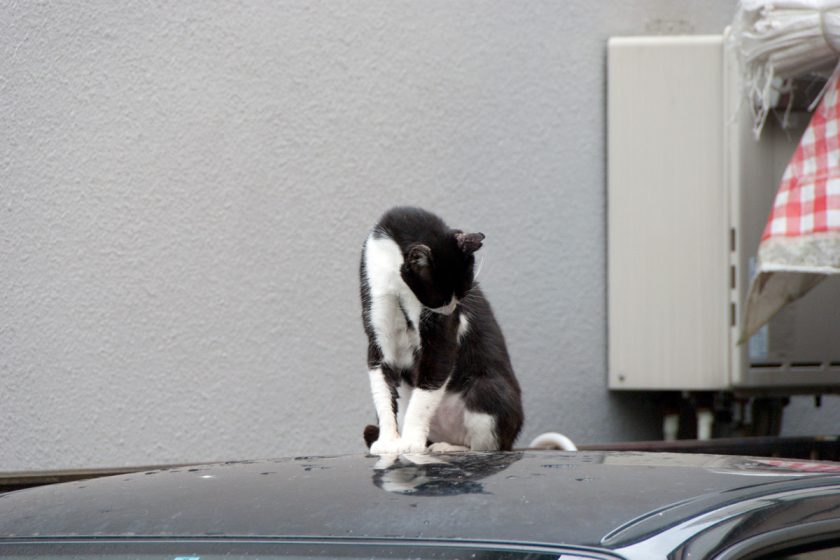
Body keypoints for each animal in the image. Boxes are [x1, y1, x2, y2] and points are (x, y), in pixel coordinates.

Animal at [358, 206, 520, 456]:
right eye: (441, 297)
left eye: (463, 293)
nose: (452, 309)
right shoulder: (376, 298)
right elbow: (381, 385)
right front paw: (388, 441)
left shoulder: (441, 334)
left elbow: (430, 379)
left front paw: (410, 442)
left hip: (488, 390)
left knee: (485, 446)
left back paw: (448, 448)